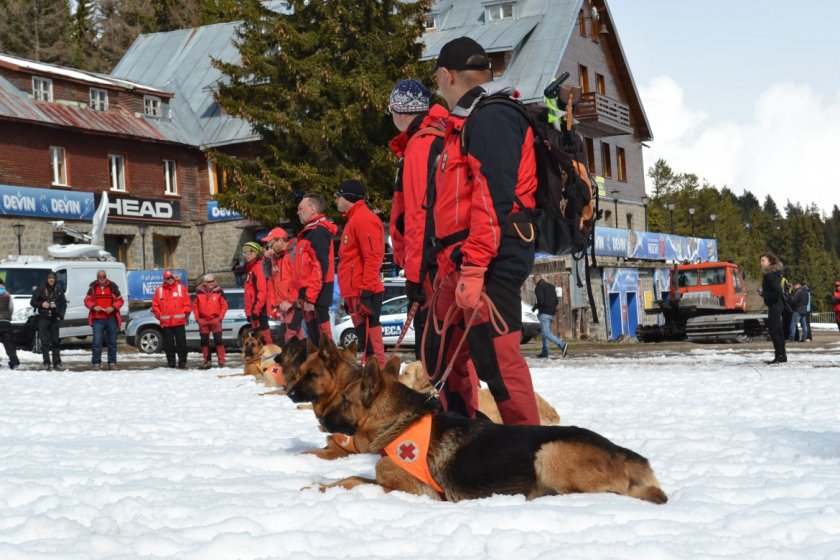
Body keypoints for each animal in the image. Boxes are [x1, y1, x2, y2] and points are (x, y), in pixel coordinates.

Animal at [316, 356, 668, 506]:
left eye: (345, 399)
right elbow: (351, 476)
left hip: (549, 452)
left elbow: (352, 480)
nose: (320, 420)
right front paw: (319, 486)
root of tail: (633, 458)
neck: (402, 423)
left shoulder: (415, 492)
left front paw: (320, 487)